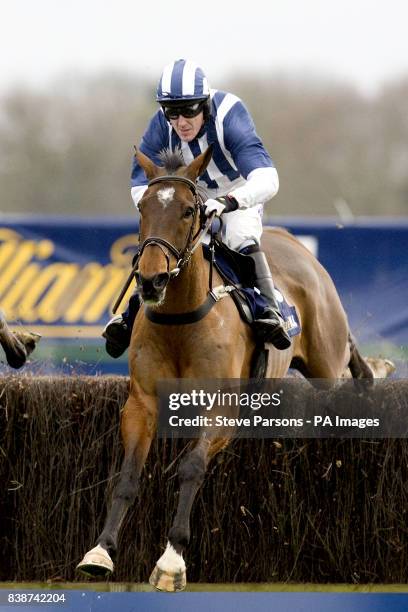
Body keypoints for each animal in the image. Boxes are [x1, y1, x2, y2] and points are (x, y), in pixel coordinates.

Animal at [76, 146, 386, 592]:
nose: (151, 281)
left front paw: (171, 561)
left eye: (189, 210)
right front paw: (100, 551)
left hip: (325, 360)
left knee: (346, 365)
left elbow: (191, 468)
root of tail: (291, 240)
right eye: (142, 208)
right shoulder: (142, 403)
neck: (180, 317)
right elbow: (128, 476)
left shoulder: (220, 407)